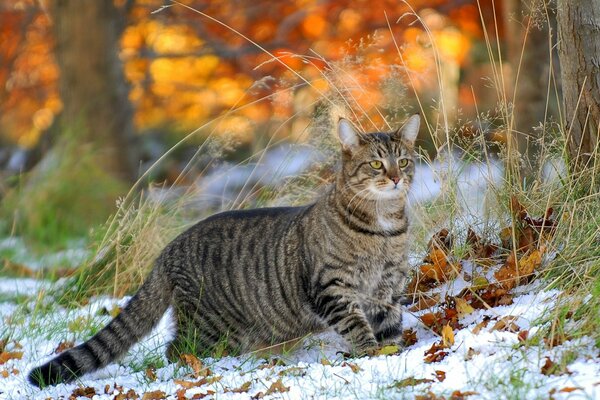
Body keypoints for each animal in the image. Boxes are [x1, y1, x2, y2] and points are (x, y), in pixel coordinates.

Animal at [28, 113, 420, 388]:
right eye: (375, 163)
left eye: (404, 161)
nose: (396, 177)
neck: (383, 227)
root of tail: (168, 250)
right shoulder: (332, 287)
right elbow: (356, 326)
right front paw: (371, 354)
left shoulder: (387, 288)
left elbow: (390, 326)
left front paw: (393, 354)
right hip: (209, 325)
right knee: (175, 350)